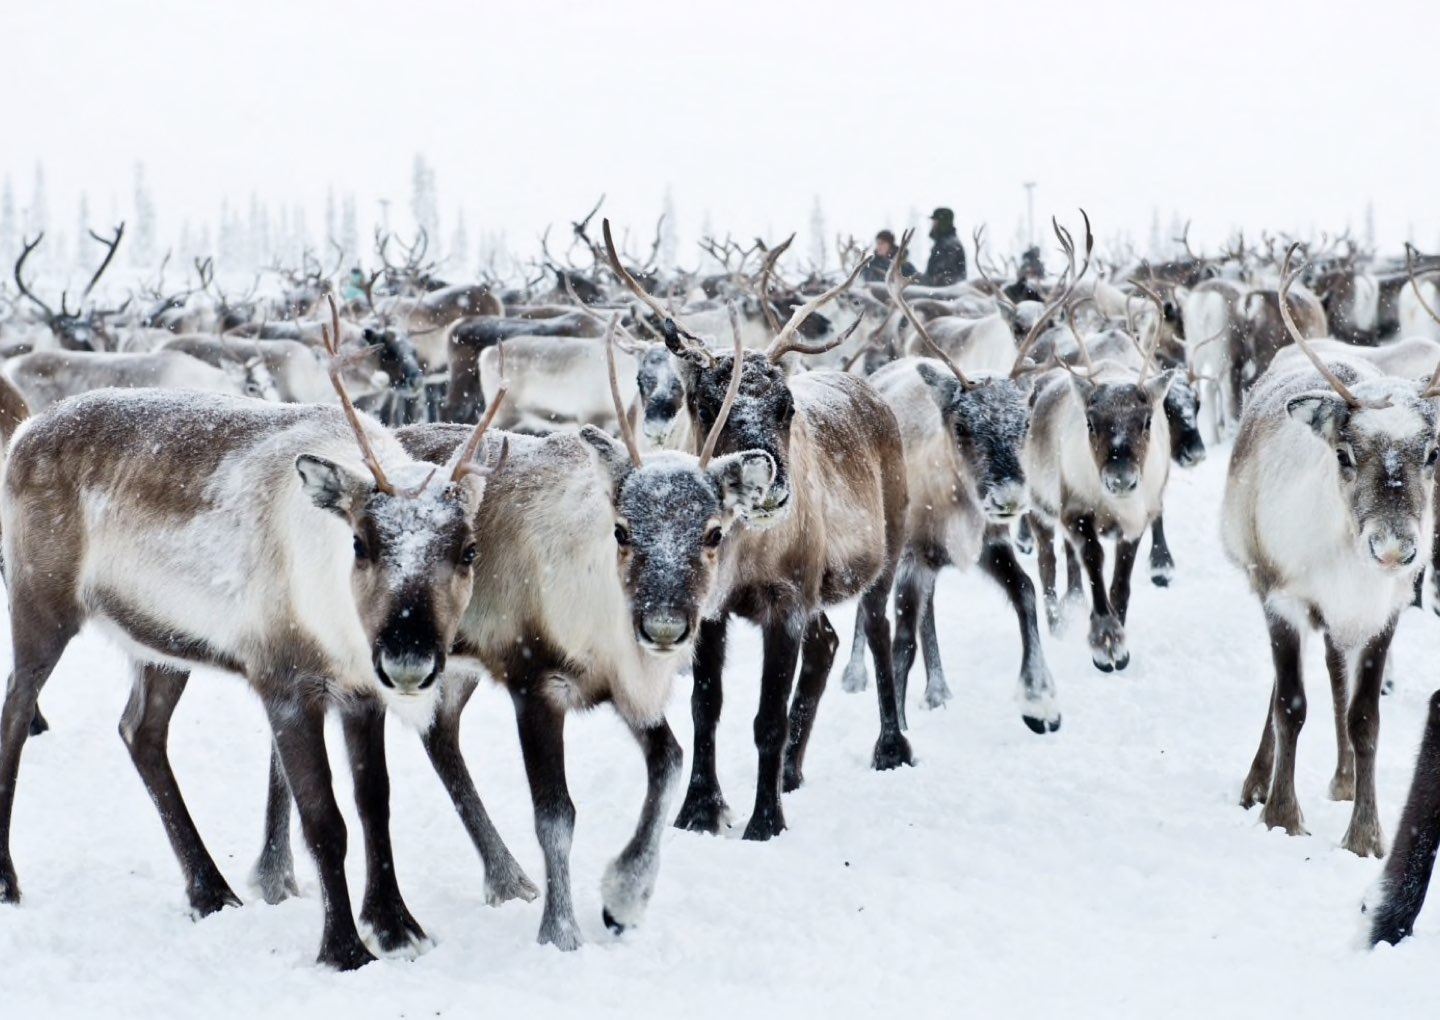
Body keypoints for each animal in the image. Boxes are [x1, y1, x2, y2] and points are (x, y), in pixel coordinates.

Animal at [0, 296, 506, 970]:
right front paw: (346, 949)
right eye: (360, 542)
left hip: (162, 644)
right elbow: (324, 819)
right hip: (40, 604)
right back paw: (7, 879)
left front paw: (397, 926)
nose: (410, 658)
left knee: (140, 731)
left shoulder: (359, 693)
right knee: (15, 713)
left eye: (469, 550)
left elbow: (375, 805)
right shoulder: (285, 684)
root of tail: (26, 432)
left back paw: (208, 890)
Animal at [256, 314, 778, 949]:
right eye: (623, 530)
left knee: (440, 736)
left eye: (713, 532)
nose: (664, 628)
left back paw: (504, 876)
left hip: (451, 663)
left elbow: (671, 763)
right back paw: (273, 874)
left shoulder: (620, 687)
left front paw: (624, 899)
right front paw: (561, 931)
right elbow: (555, 814)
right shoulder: (536, 680)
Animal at [603, 219, 911, 842]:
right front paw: (699, 808)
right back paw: (792, 771)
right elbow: (705, 707)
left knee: (878, 633)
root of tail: (870, 391)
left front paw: (764, 820)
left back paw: (890, 747)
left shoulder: (786, 601)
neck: (745, 555)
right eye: (702, 403)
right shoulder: (710, 611)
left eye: (786, 406)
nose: (764, 480)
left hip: (885, 557)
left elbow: (767, 717)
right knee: (828, 643)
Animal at [1228, 247, 1440, 858]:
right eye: (1344, 453)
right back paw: (1258, 781)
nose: (1393, 549)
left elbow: (1364, 716)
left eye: (1433, 453)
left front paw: (1365, 833)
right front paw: (1281, 814)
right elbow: (1291, 705)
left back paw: (1344, 779)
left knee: (1333, 671)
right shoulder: (1283, 598)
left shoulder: (1384, 611)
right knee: (1288, 686)